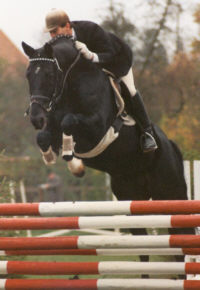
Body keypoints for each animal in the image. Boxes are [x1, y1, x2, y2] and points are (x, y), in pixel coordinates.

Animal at [21, 34, 194, 274]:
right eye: (28, 75)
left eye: (48, 74)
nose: (36, 118)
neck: (71, 83)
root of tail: (172, 146)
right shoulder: (53, 127)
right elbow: (44, 136)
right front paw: (56, 156)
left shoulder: (96, 128)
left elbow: (69, 122)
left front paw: (73, 161)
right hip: (131, 198)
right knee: (144, 247)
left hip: (169, 194)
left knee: (181, 237)